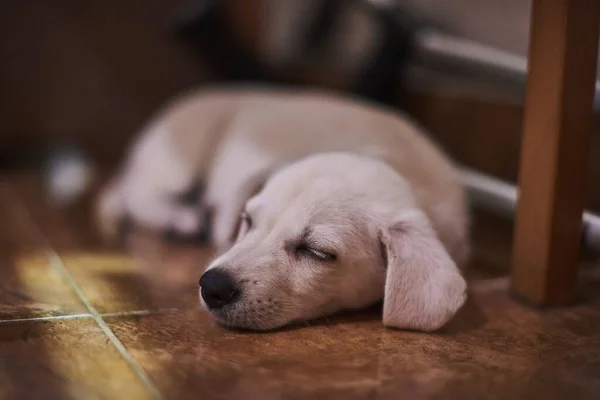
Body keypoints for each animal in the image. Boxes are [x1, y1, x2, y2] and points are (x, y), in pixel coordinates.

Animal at [96, 86, 472, 332]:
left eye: (317, 252)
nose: (211, 286)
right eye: (248, 221)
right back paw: (181, 219)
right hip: (178, 157)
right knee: (137, 196)